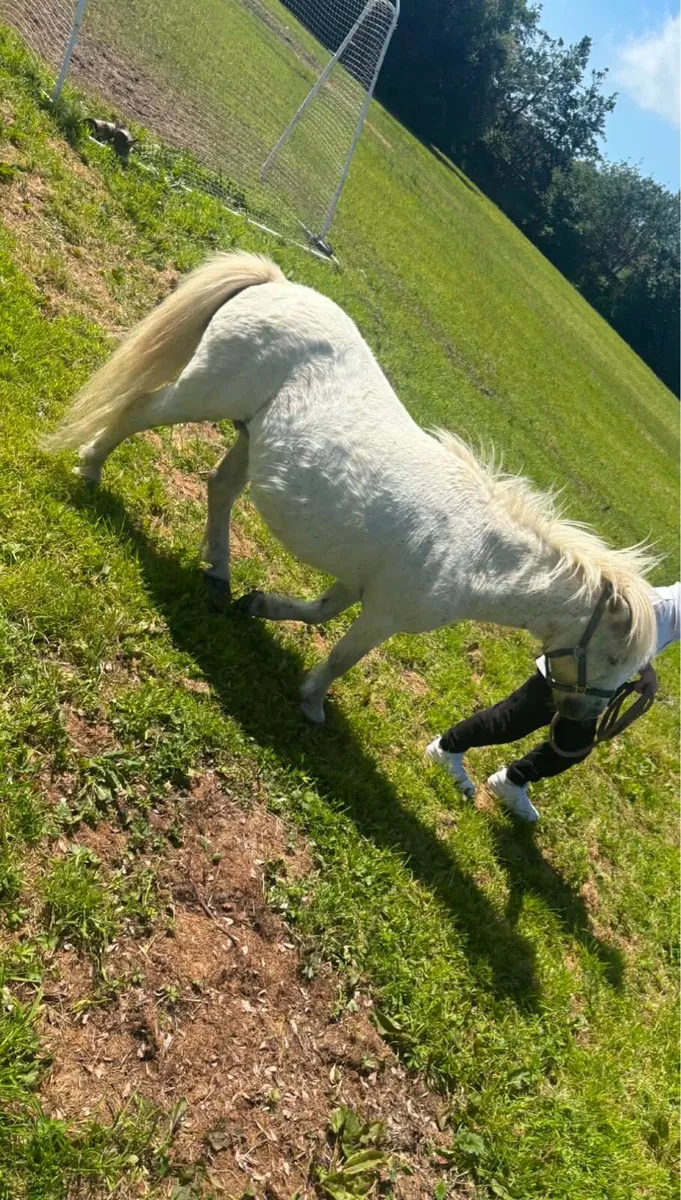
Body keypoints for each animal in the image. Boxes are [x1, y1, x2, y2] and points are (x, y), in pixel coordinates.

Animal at [43, 252, 658, 725]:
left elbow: (318, 613)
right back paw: (90, 471)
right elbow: (341, 656)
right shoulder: (383, 614)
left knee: (219, 488)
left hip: (250, 435)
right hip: (202, 395)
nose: (577, 717)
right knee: (138, 410)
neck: (477, 552)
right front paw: (312, 704)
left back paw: (219, 574)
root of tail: (276, 284)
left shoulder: (358, 583)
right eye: (611, 659)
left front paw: (260, 605)